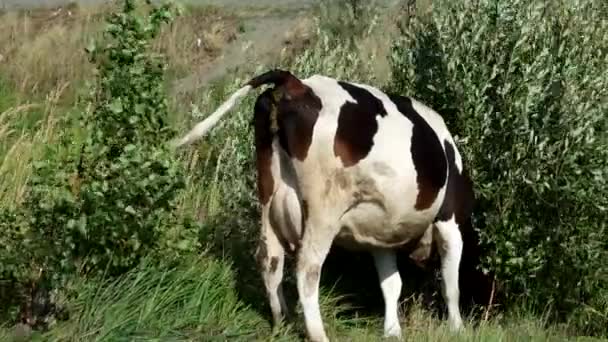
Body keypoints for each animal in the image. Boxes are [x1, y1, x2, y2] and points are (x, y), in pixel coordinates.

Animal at [173, 70, 478, 342]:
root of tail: (295, 83)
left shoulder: (380, 234)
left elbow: (391, 283)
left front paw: (392, 331)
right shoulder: (450, 219)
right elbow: (451, 283)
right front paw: (457, 329)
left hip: (269, 199)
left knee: (270, 260)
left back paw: (281, 323)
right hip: (323, 209)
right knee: (307, 269)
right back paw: (318, 334)